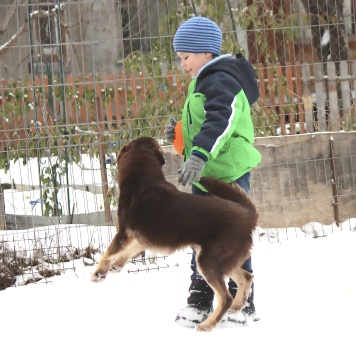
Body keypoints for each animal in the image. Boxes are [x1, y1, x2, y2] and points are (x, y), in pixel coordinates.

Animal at [92, 136, 258, 330]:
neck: (142, 178)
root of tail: (248, 215)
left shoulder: (124, 232)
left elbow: (108, 253)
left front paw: (98, 273)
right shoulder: (141, 237)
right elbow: (127, 252)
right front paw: (116, 266)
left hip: (208, 261)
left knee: (226, 297)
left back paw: (208, 325)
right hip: (220, 262)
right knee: (246, 277)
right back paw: (238, 306)